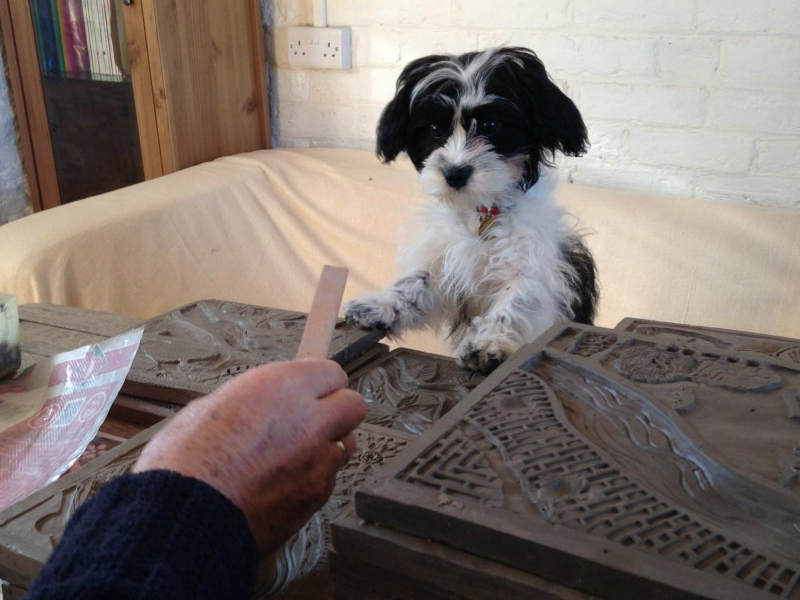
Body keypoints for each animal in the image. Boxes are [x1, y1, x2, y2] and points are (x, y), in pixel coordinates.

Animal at [346, 47, 596, 372]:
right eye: (435, 130)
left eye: (491, 125)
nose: (455, 174)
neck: (481, 212)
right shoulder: (446, 262)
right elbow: (415, 282)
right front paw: (381, 306)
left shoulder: (533, 264)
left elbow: (517, 299)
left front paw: (489, 343)